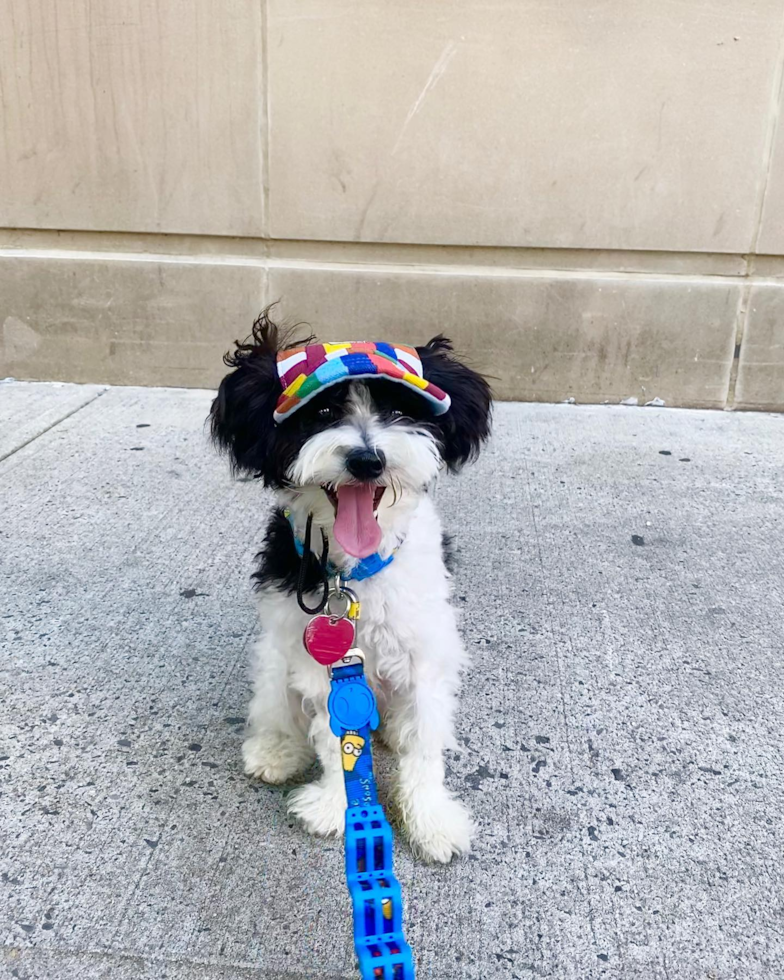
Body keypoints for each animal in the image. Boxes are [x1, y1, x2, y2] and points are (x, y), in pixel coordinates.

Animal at [208, 314, 490, 864]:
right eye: (320, 413)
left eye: (398, 411)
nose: (366, 459)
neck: (353, 575)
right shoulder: (316, 661)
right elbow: (330, 736)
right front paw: (336, 806)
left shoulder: (426, 654)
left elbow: (425, 743)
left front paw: (431, 820)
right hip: (274, 657)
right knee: (276, 708)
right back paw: (275, 749)